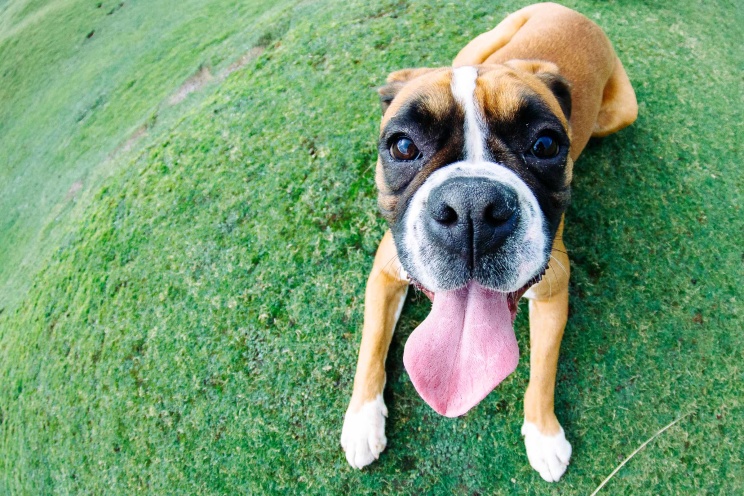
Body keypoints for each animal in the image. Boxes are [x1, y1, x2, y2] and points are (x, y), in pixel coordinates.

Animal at [340, 1, 636, 482]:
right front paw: (363, 421)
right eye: (402, 147)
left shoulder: (553, 293)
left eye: (546, 145)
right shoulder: (384, 274)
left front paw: (544, 434)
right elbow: (371, 345)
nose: (473, 208)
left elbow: (544, 369)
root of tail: (575, 14)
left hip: (622, 111)